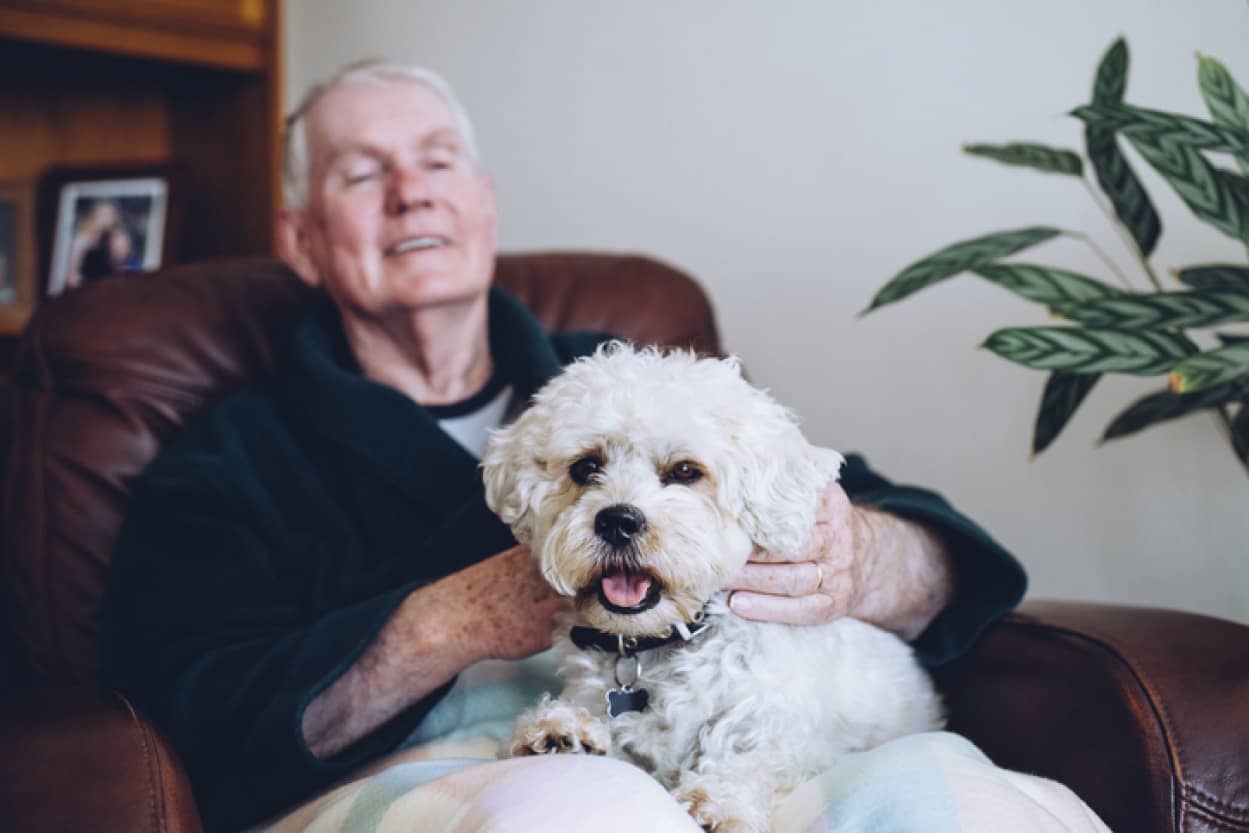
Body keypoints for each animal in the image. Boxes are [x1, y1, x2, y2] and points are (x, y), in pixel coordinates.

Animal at [479, 344, 944, 833]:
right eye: (586, 466)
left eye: (685, 471)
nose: (617, 520)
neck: (657, 642)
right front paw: (559, 729)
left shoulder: (780, 727)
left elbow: (751, 759)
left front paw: (716, 802)